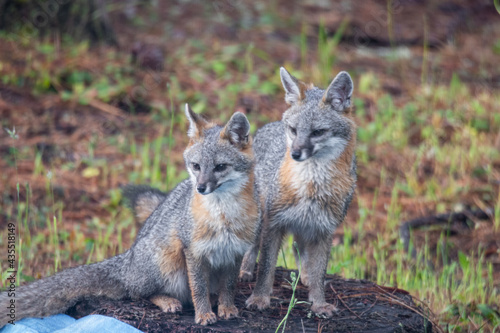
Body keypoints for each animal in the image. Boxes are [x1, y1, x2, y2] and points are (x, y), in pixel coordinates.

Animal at [0, 105, 262, 326]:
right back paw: (168, 301)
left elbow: (229, 287)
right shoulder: (193, 251)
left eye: (220, 167)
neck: (224, 217)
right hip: (168, 262)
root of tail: (127, 260)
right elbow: (198, 289)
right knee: (139, 293)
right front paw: (204, 314)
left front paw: (226, 308)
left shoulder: (235, 252)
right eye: (196, 166)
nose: (200, 188)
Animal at [240, 68, 358, 316]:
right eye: (294, 130)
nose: (295, 153)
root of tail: (269, 125)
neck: (311, 186)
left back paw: (304, 275)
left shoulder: (324, 229)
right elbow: (266, 267)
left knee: (300, 251)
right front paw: (259, 298)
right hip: (261, 217)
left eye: (318, 132)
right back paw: (245, 270)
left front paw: (319, 303)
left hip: (306, 226)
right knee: (254, 245)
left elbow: (320, 271)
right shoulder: (274, 223)